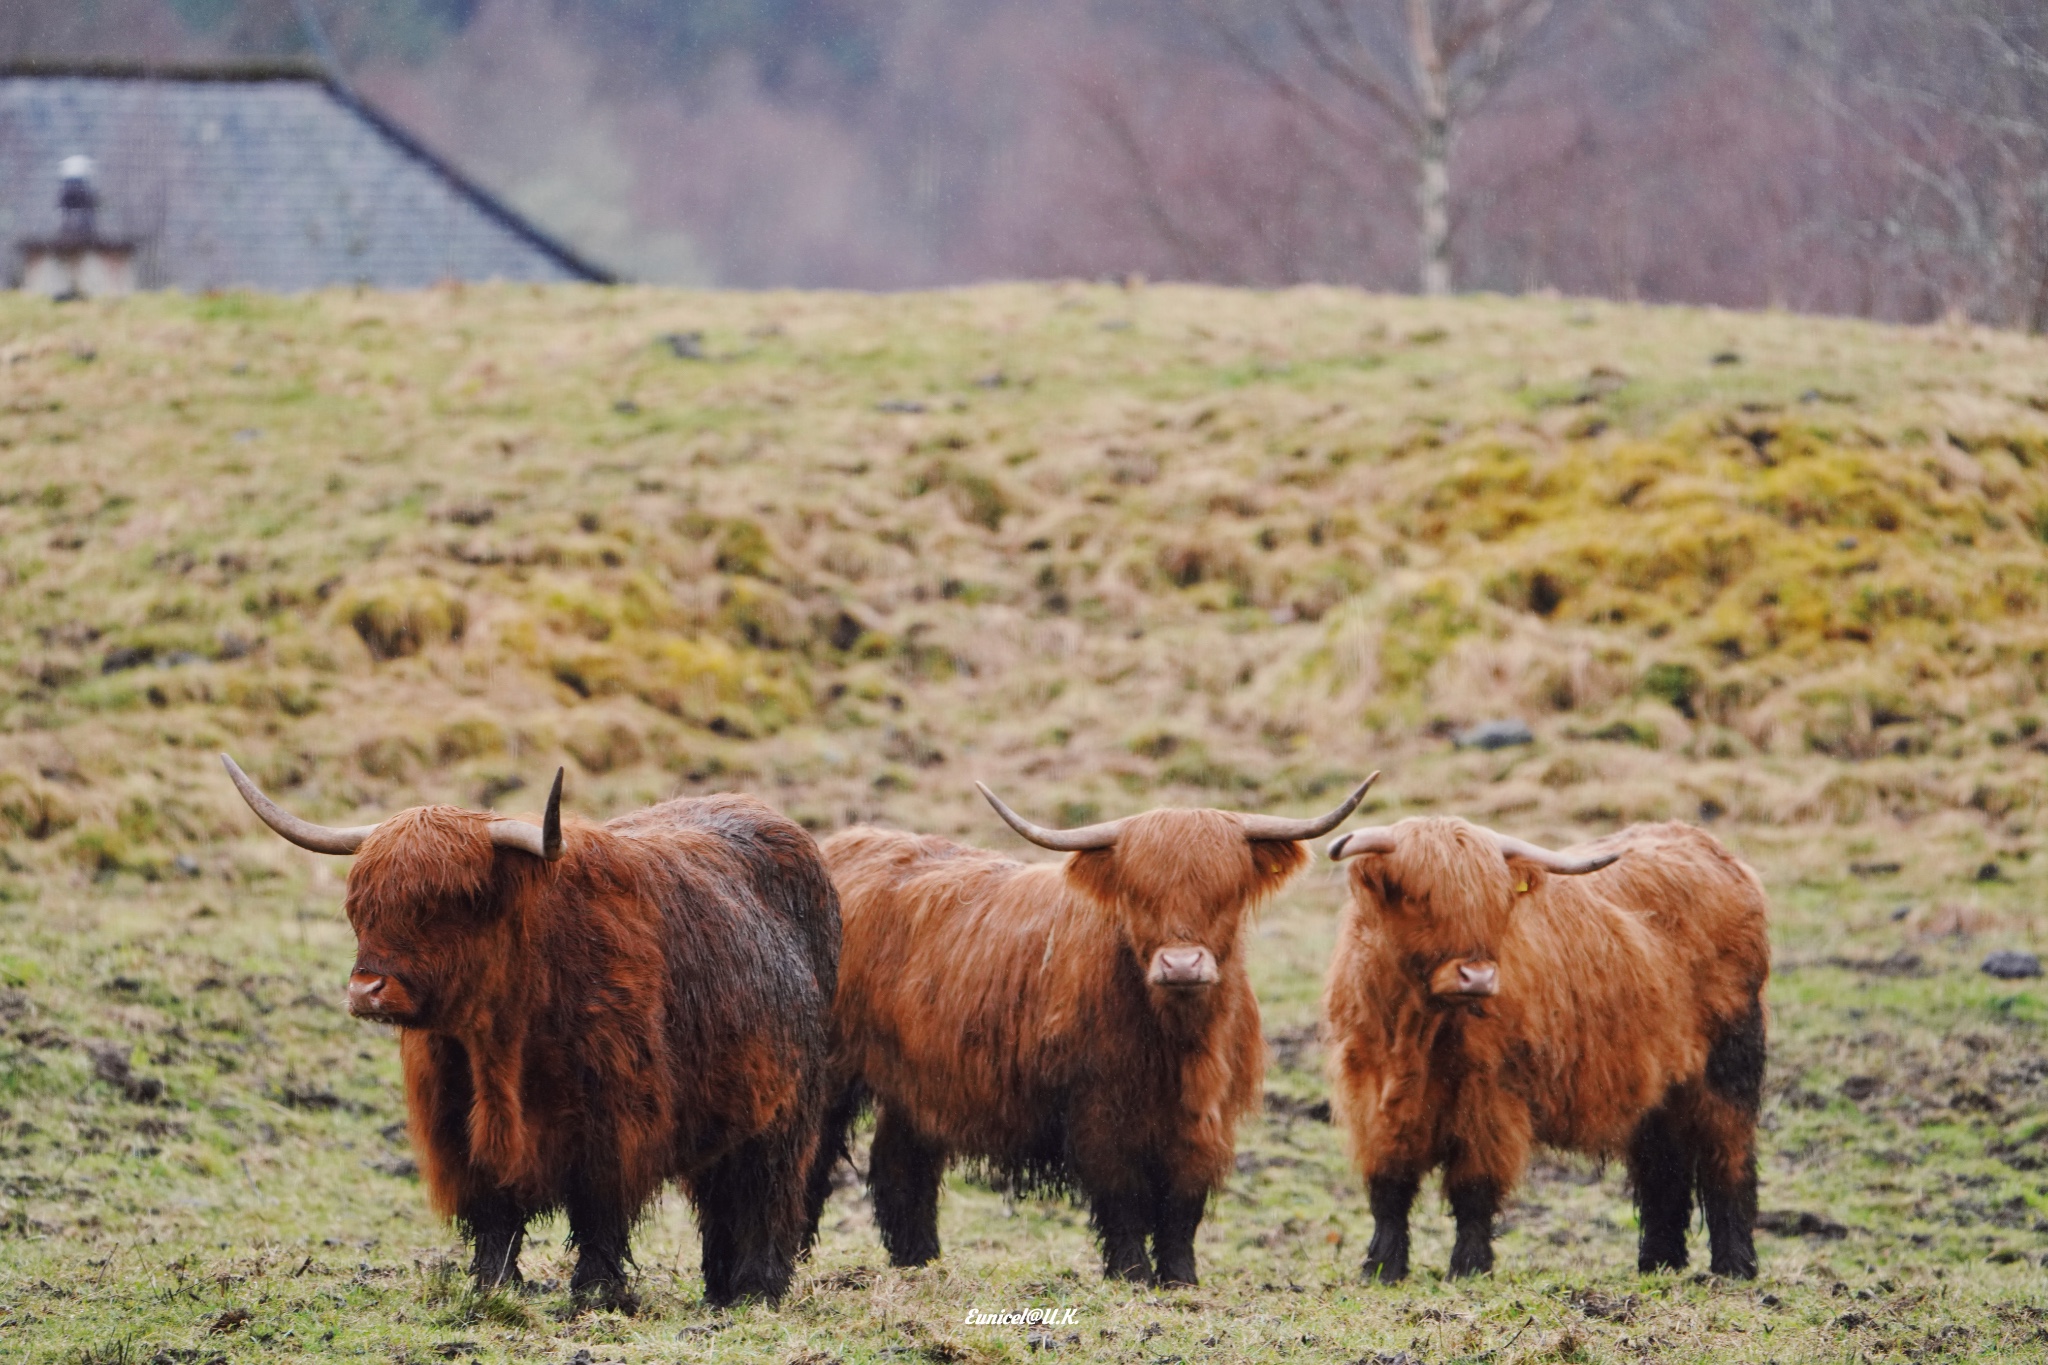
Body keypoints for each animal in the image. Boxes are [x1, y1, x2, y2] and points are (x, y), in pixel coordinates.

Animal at [220, 753, 835, 1309]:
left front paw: (597, 1292)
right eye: (360, 904)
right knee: (722, 1201)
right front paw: (492, 1286)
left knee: (766, 1195)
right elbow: (494, 1211)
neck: (502, 1034)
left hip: (787, 1112)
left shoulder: (615, 1119)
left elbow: (598, 1211)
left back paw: (755, 1291)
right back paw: (718, 1291)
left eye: (454, 900)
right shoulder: (454, 1122)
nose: (367, 988)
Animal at [806, 777, 1368, 1285]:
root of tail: (845, 846)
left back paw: (920, 1263)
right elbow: (1123, 1195)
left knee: (902, 1167)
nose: (1181, 965)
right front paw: (1132, 1274)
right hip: (829, 1074)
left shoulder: (1207, 1118)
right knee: (814, 1158)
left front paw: (1181, 1280)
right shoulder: (1097, 1108)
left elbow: (1182, 1204)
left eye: (1226, 892)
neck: (1177, 1042)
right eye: (1139, 894)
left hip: (916, 1082)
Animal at [1318, 822, 1769, 1285]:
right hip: (1659, 1084)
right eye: (1417, 896)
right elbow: (1389, 1184)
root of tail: (1702, 842)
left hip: (1729, 1064)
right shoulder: (1370, 1094)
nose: (1477, 976)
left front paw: (1469, 1267)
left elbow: (1473, 1186)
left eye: (1496, 902)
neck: (1414, 1031)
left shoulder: (1491, 1098)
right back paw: (1658, 1264)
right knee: (1664, 1168)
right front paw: (1381, 1267)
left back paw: (1735, 1265)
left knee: (1728, 1158)